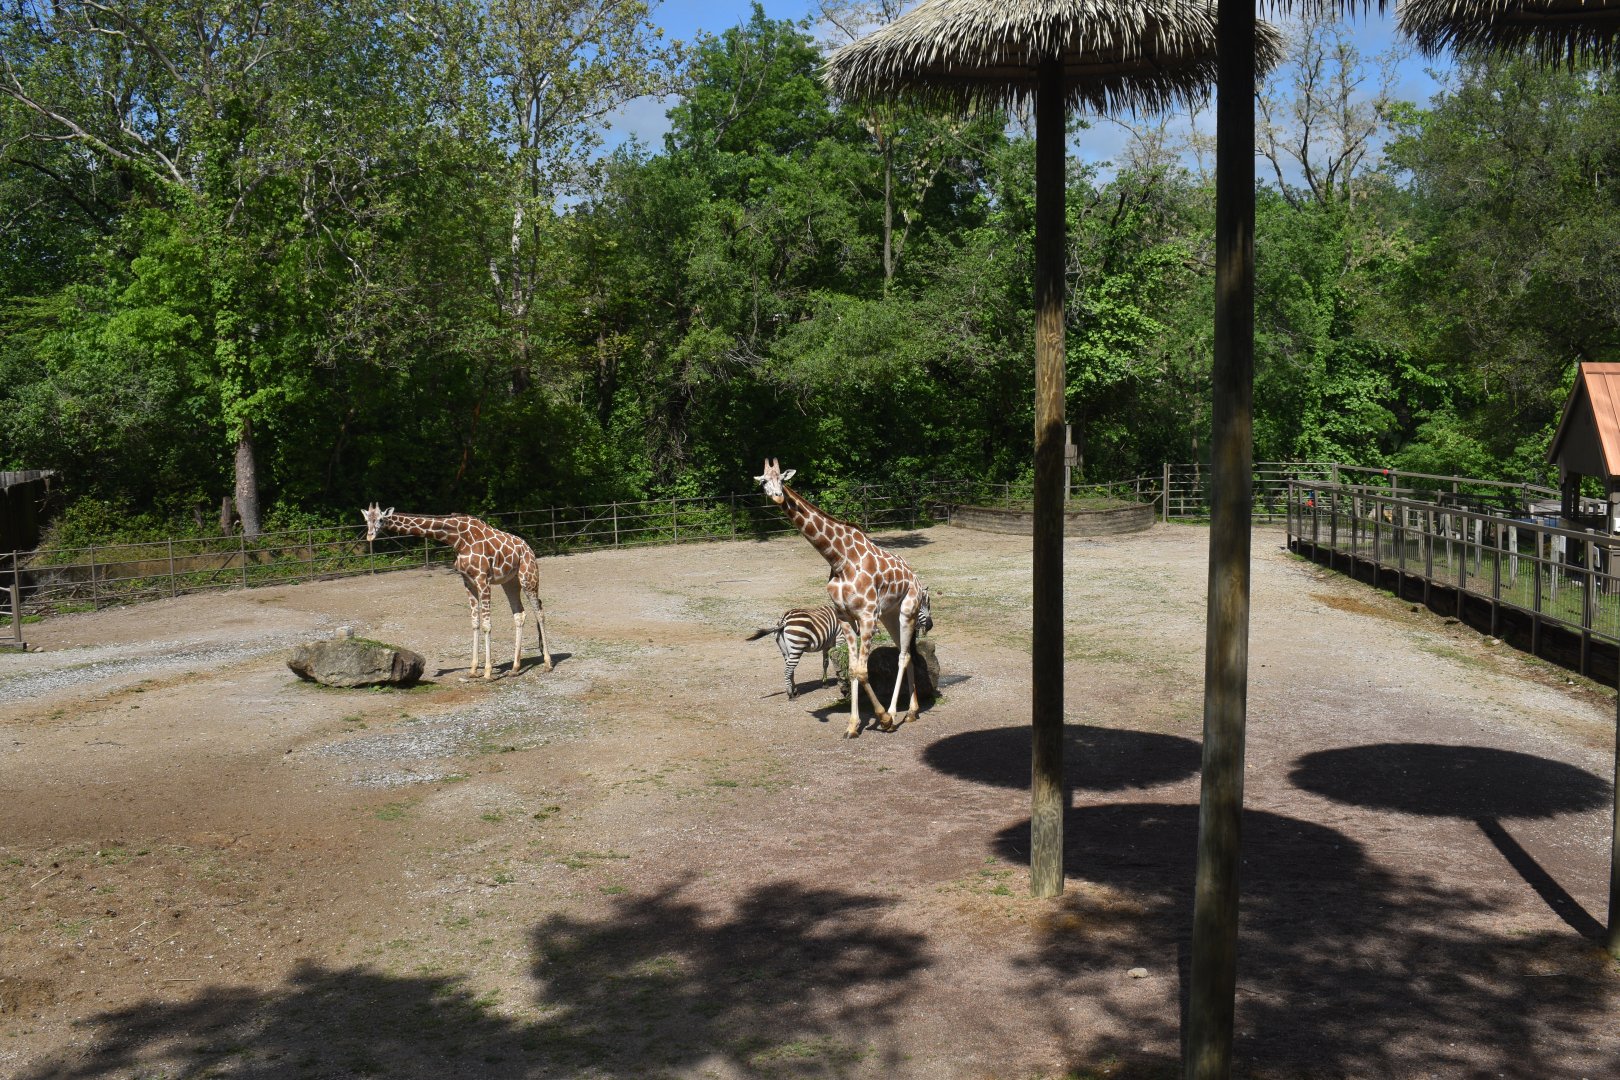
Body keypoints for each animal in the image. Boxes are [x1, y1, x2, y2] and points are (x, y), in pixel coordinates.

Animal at [361, 505, 553, 680]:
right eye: (366, 520)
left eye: (380, 519)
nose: (370, 536)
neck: (457, 538)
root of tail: (529, 548)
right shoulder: (467, 581)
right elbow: (475, 622)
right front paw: (473, 670)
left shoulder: (483, 580)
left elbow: (487, 625)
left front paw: (488, 672)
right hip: (510, 582)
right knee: (520, 614)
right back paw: (515, 668)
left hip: (528, 578)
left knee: (539, 612)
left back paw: (548, 663)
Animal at [755, 459, 930, 738]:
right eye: (763, 481)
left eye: (782, 479)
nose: (777, 495)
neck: (839, 559)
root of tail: (913, 576)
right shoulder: (846, 618)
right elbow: (852, 670)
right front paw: (852, 726)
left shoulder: (867, 616)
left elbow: (861, 670)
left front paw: (883, 719)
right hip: (890, 616)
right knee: (908, 653)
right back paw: (911, 712)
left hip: (907, 610)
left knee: (903, 656)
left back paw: (895, 714)